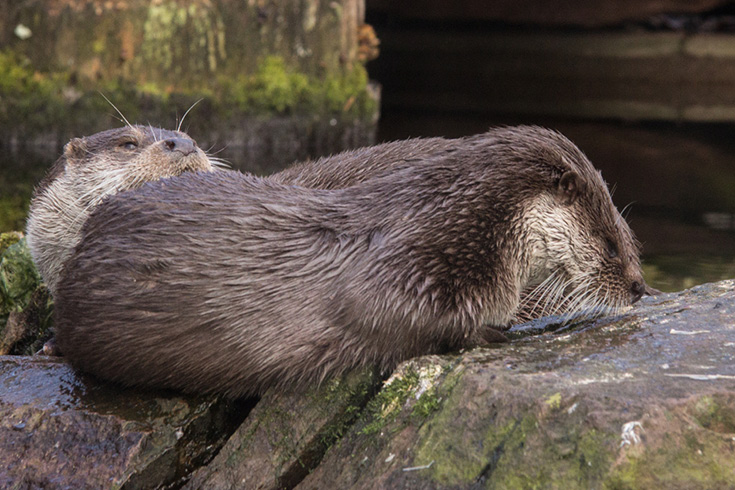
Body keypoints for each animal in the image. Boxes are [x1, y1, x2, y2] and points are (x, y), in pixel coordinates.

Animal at [54, 126, 648, 398]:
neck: (459, 219)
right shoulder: (404, 270)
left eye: (628, 237)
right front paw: (497, 333)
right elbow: (403, 321)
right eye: (610, 246)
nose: (640, 287)